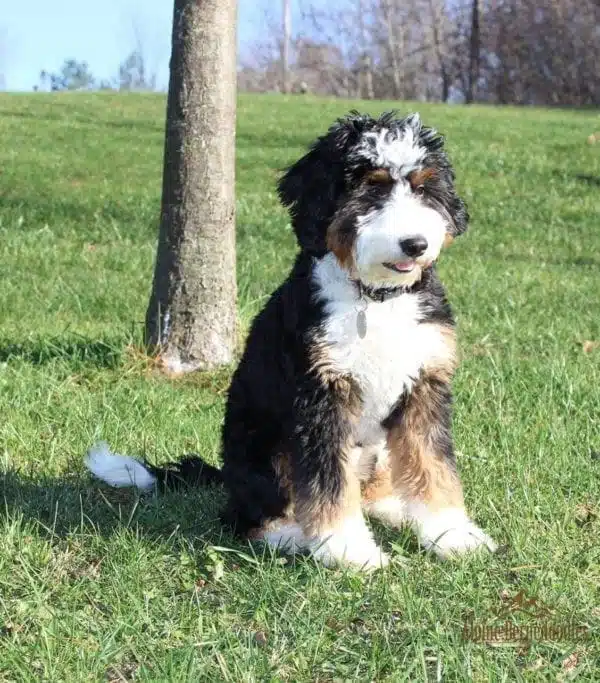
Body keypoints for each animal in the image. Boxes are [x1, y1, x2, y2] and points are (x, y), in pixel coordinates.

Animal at [85, 112, 496, 572]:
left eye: (424, 187)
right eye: (371, 188)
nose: (416, 244)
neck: (373, 300)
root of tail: (226, 476)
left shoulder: (424, 385)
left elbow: (433, 464)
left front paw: (451, 534)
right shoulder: (320, 397)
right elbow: (328, 481)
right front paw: (348, 548)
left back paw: (394, 510)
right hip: (265, 449)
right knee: (249, 518)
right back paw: (293, 536)